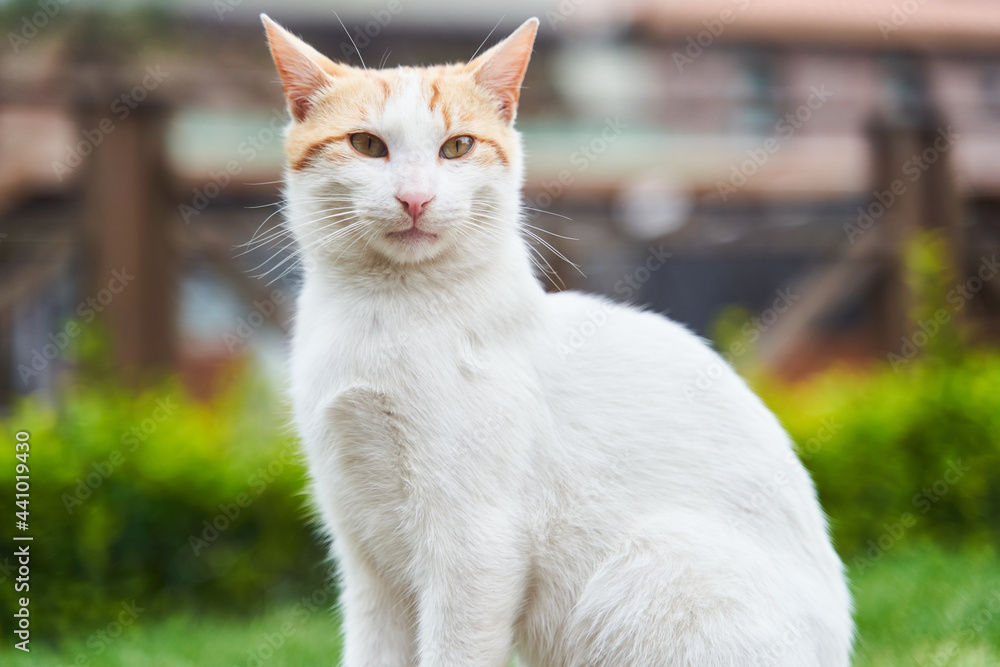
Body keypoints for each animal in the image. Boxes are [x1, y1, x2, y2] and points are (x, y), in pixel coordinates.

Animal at [260, 15, 852, 667]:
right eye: (367, 145)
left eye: (457, 147)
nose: (415, 197)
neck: (385, 313)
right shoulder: (365, 555)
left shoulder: (475, 545)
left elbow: (455, 649)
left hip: (655, 560)